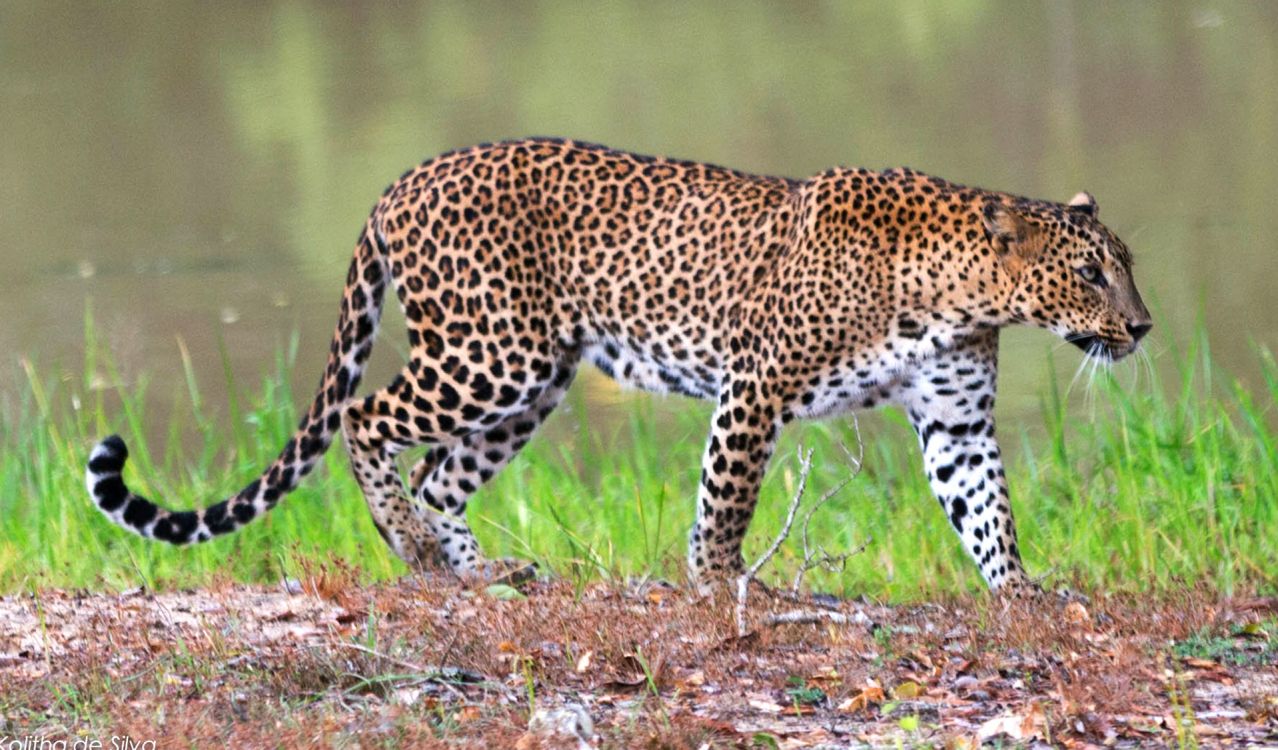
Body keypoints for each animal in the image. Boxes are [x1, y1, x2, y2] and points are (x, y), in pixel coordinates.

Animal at [86, 138, 1151, 593]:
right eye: (1091, 272)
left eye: (1125, 266)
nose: (1143, 328)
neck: (957, 295)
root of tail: (399, 181)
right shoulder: (756, 387)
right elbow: (726, 500)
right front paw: (721, 586)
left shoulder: (955, 418)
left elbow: (988, 512)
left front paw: (1023, 595)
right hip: (492, 353)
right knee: (367, 418)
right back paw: (413, 549)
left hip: (536, 379)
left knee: (440, 474)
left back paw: (481, 570)